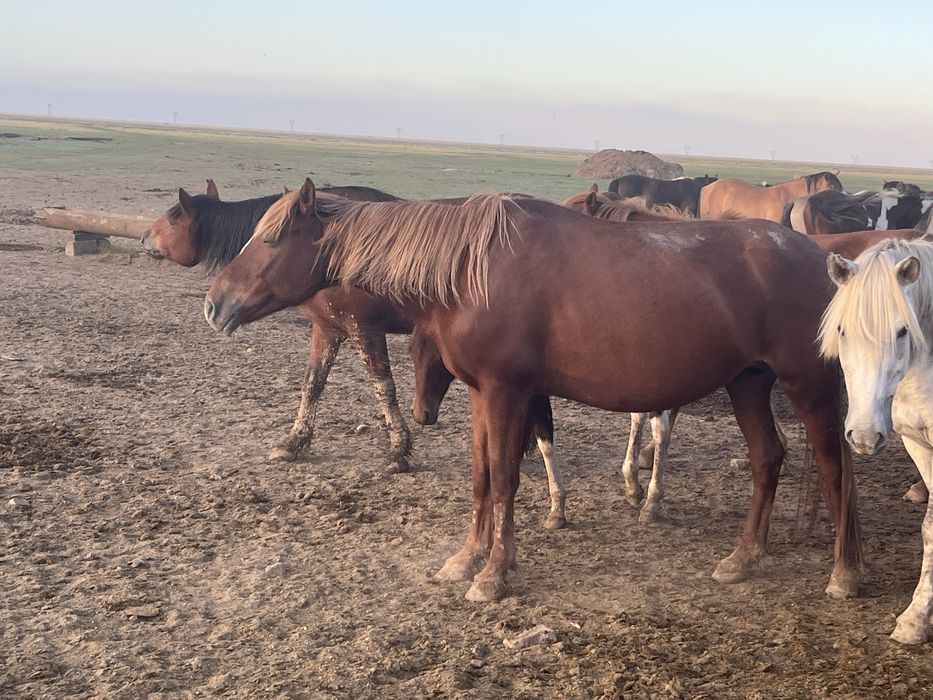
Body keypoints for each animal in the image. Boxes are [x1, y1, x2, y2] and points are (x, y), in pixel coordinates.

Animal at [141, 181, 417, 471]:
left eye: (173, 219)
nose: (143, 236)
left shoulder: (364, 328)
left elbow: (383, 388)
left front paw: (399, 449)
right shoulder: (326, 328)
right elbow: (312, 384)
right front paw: (294, 442)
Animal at [204, 179, 863, 604]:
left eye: (271, 239)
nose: (214, 304)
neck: (468, 267)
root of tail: (823, 259)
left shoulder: (507, 393)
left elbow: (504, 480)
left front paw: (494, 575)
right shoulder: (481, 395)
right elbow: (480, 479)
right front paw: (466, 559)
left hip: (808, 386)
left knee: (835, 468)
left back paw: (845, 573)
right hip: (747, 384)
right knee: (768, 459)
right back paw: (744, 558)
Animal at [819, 237, 933, 644]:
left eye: (902, 331)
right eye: (842, 330)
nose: (865, 435)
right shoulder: (919, 446)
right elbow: (930, 529)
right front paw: (916, 620)